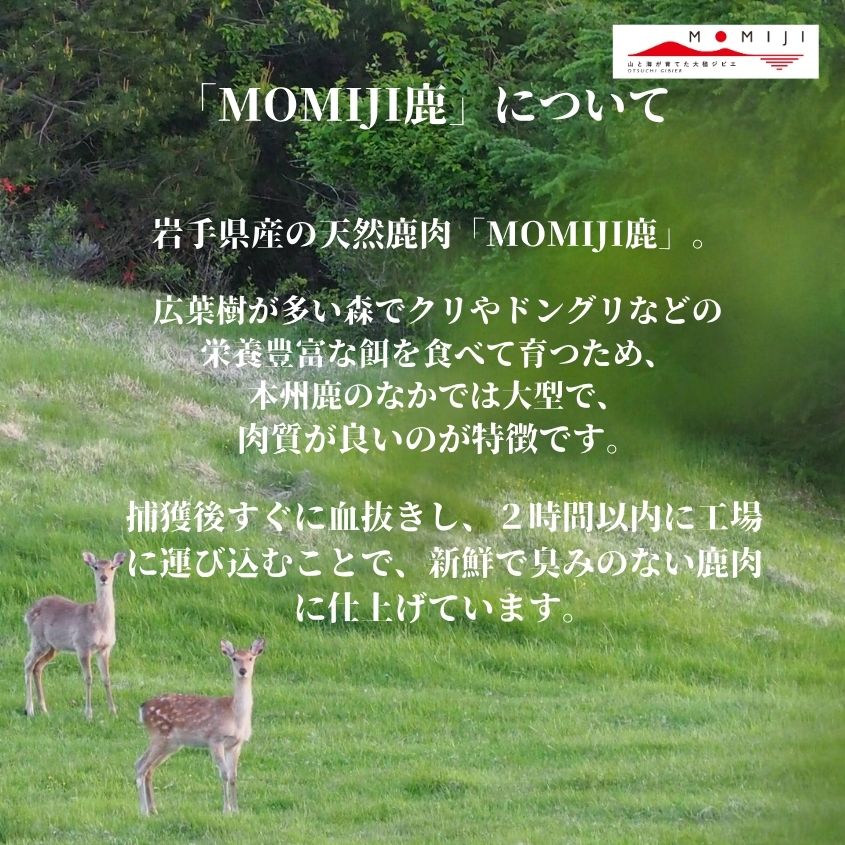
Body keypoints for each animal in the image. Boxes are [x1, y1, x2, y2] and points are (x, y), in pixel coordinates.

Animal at [23, 551, 126, 720]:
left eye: (112, 567)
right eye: (95, 567)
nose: (103, 578)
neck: (100, 622)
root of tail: (27, 614)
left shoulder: (105, 648)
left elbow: (106, 678)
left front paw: (113, 712)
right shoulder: (82, 645)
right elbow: (88, 678)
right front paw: (88, 714)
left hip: (53, 647)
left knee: (37, 667)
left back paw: (44, 709)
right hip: (38, 639)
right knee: (27, 663)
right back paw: (29, 710)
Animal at [135, 638, 266, 815]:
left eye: (251, 658)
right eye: (234, 658)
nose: (243, 671)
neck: (235, 716)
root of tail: (143, 708)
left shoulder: (236, 744)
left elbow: (233, 776)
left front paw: (236, 810)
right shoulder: (215, 739)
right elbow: (224, 774)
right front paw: (226, 810)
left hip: (171, 744)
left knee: (146, 767)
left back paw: (153, 809)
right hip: (160, 735)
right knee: (140, 767)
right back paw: (144, 812)